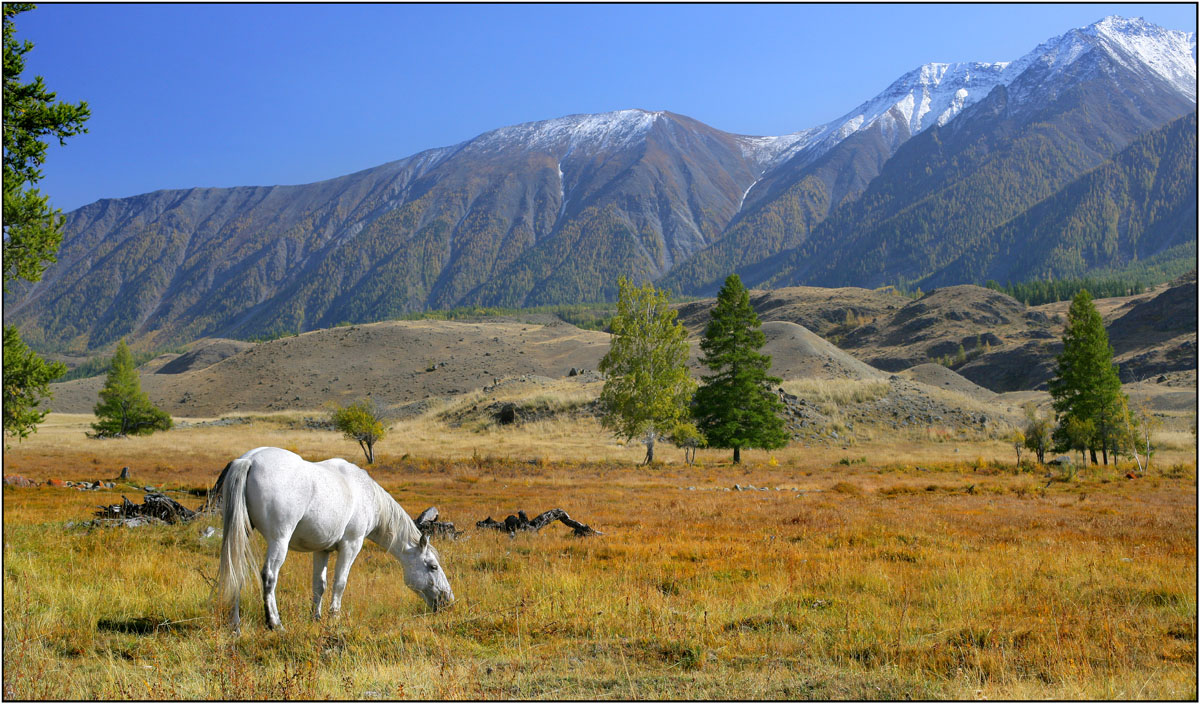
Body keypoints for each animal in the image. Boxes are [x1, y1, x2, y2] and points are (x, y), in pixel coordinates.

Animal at [213, 448, 451, 628]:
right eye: (433, 566)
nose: (448, 600)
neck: (366, 494)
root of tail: (249, 460)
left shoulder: (322, 549)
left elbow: (320, 584)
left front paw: (316, 617)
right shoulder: (351, 545)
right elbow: (340, 583)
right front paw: (334, 617)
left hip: (242, 536)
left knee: (237, 571)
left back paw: (235, 624)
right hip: (279, 541)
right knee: (269, 576)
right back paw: (275, 623)